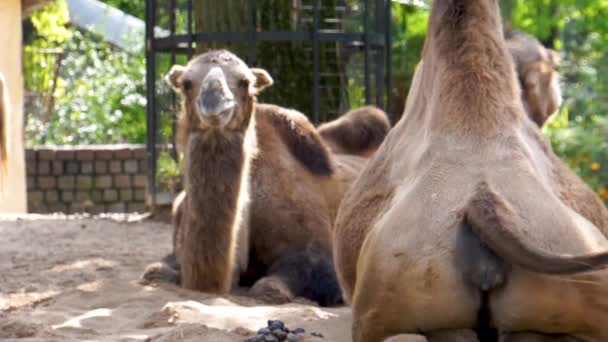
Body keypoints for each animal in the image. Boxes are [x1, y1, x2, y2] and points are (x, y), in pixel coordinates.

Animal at [142, 49, 390, 306]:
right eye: (186, 84)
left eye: (245, 82)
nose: (213, 102)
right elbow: (154, 272)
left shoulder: (316, 257)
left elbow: (270, 288)